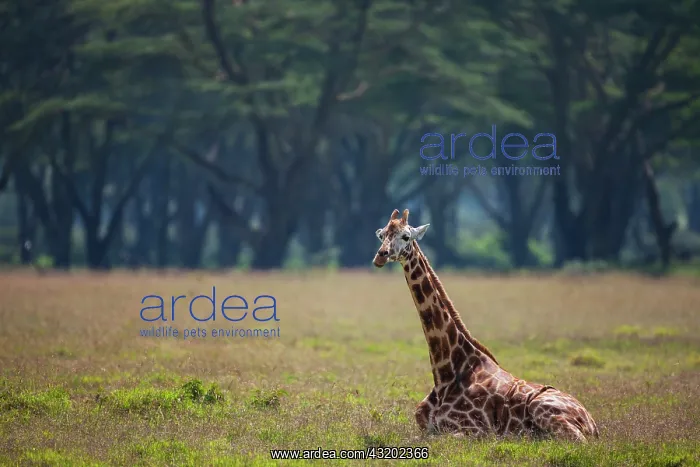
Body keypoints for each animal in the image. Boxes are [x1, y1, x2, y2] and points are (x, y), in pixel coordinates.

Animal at [372, 209, 599, 442]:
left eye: (406, 236)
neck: (446, 373)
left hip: (544, 411)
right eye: (382, 235)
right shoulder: (424, 427)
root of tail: (593, 424)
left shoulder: (476, 430)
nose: (381, 256)